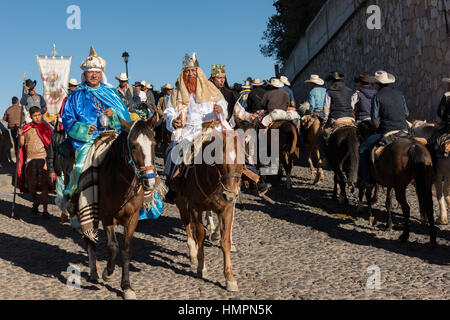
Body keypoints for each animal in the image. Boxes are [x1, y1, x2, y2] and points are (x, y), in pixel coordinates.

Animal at [71, 117, 159, 300]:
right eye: (133, 145)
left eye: (154, 143)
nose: (149, 181)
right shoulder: (107, 216)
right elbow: (113, 246)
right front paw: (108, 272)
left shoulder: (132, 218)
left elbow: (125, 250)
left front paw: (126, 286)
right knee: (89, 240)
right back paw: (94, 272)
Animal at [173, 131, 243, 292]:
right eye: (221, 161)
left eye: (241, 163)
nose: (230, 195)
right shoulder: (195, 208)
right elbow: (200, 235)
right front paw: (201, 267)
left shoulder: (226, 210)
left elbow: (225, 241)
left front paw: (230, 279)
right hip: (181, 200)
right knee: (187, 223)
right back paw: (193, 253)